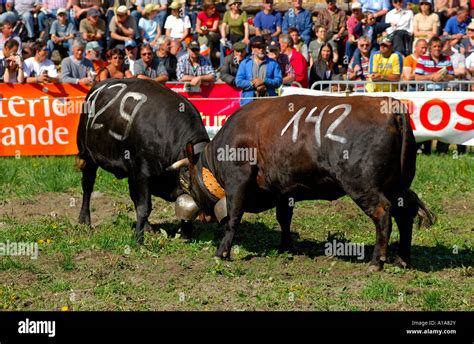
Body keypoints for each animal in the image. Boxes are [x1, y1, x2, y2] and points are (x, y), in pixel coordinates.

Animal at [76, 79, 209, 243]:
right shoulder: (143, 172)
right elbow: (144, 206)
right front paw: (138, 239)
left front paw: (185, 234)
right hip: (87, 156)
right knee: (87, 186)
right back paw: (84, 221)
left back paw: (148, 227)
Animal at [168, 94, 436, 272]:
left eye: (187, 180)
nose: (203, 217)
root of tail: (391, 107)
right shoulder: (284, 190)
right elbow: (284, 218)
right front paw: (286, 246)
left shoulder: (238, 181)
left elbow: (233, 217)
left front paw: (222, 251)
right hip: (398, 186)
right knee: (405, 215)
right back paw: (402, 258)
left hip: (363, 185)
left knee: (383, 214)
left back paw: (376, 262)